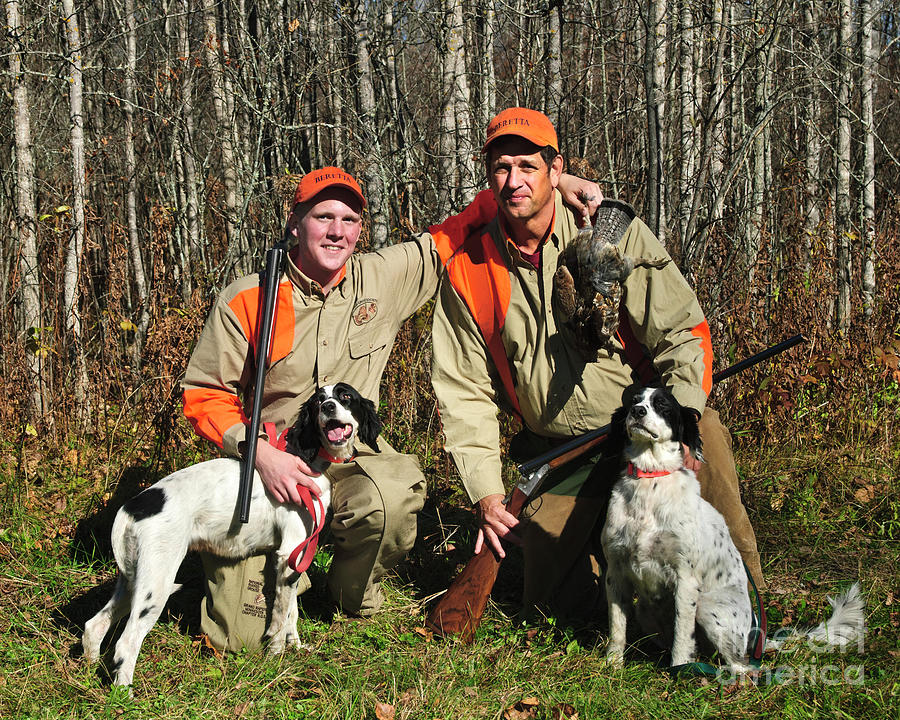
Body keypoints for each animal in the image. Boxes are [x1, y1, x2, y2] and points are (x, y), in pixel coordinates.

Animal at [82, 382, 382, 688]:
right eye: (319, 401)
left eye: (345, 396)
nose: (329, 407)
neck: (306, 459)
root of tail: (132, 506)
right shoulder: (289, 552)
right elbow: (280, 615)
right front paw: (276, 654)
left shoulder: (296, 557)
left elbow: (292, 611)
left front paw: (296, 646)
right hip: (156, 583)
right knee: (125, 644)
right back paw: (124, 693)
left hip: (133, 580)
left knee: (94, 625)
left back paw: (88, 670)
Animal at [600, 388, 860, 676]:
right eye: (632, 402)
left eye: (663, 405)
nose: (638, 412)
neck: (650, 482)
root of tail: (754, 636)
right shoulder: (615, 572)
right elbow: (617, 628)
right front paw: (613, 663)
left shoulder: (685, 579)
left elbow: (682, 634)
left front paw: (679, 668)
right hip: (646, 611)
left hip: (708, 608)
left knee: (741, 665)